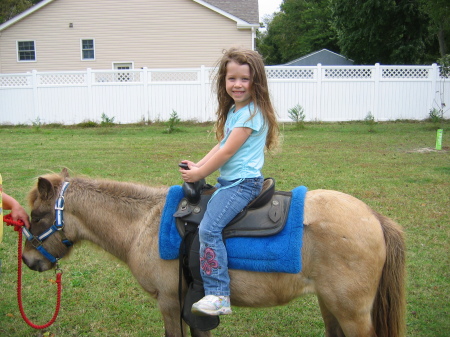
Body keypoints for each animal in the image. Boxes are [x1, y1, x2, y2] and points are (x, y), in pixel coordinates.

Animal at [22, 168, 406, 336]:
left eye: (37, 216)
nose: (28, 260)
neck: (144, 224)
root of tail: (374, 217)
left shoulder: (169, 302)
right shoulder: (186, 305)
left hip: (353, 313)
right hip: (331, 305)